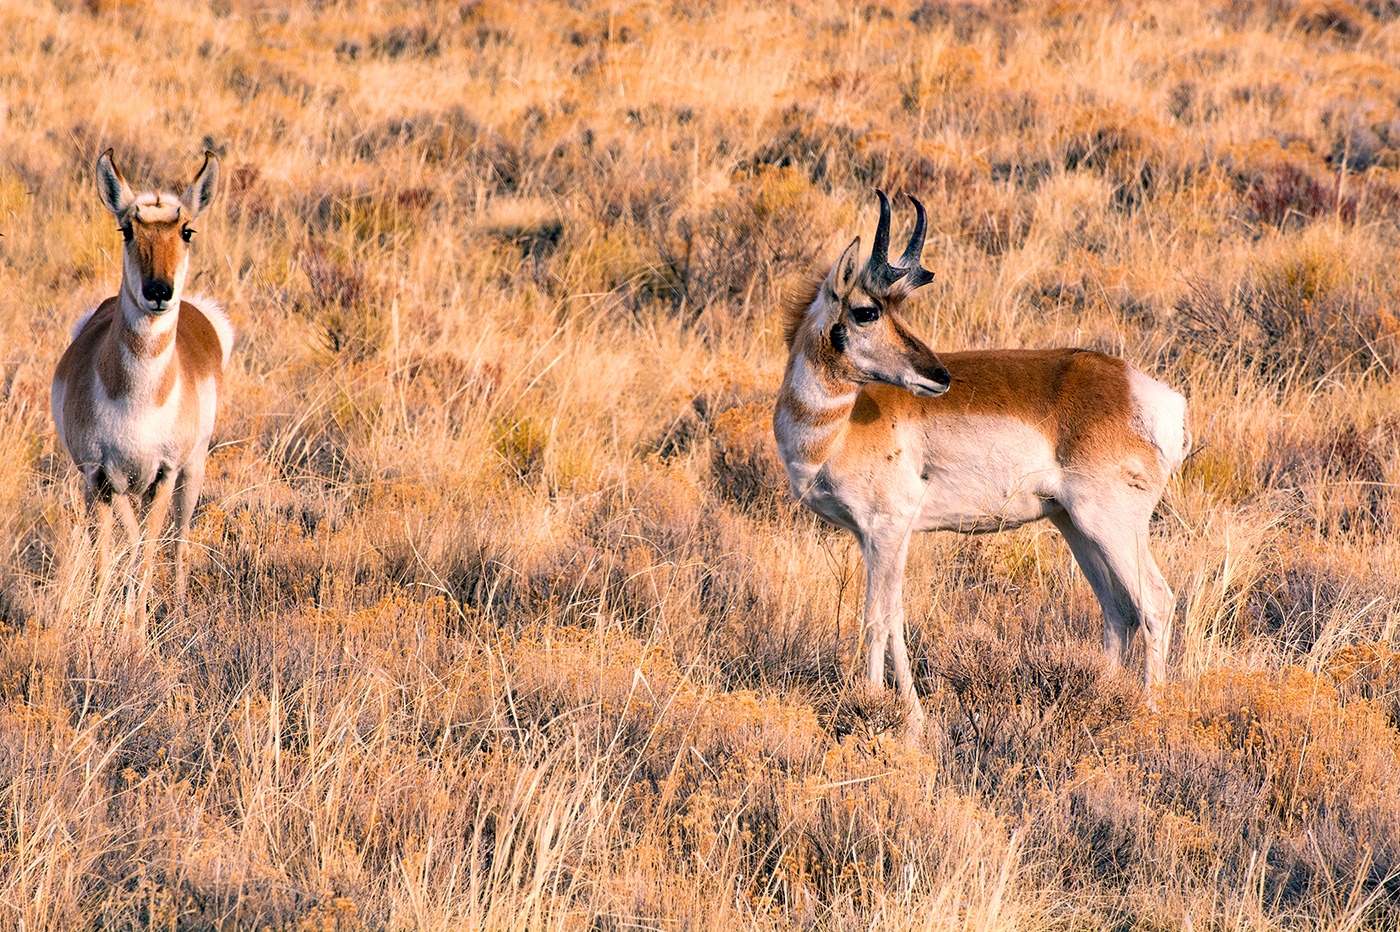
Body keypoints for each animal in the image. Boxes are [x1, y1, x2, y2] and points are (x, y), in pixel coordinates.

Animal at [50, 149, 232, 626]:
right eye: (127, 229)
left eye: (186, 230)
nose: (158, 291)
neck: (137, 401)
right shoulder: (96, 478)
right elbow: (104, 559)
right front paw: (97, 627)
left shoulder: (165, 475)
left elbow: (152, 555)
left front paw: (135, 630)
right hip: (121, 489)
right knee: (132, 542)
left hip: (191, 471)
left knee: (177, 541)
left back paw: (179, 607)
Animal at [772, 190, 1187, 727]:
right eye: (867, 311)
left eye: (886, 310)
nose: (940, 376)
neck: (840, 425)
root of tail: (1146, 393)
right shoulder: (873, 537)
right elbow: (894, 617)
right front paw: (913, 717)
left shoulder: (887, 529)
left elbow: (876, 618)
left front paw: (878, 709)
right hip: (1074, 526)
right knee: (1117, 611)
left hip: (1111, 525)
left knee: (1155, 603)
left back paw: (1150, 713)